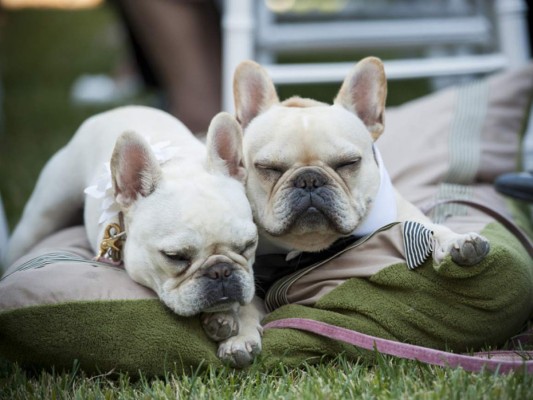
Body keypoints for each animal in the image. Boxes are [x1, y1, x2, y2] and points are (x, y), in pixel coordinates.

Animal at [6, 106, 264, 368]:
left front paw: (233, 328)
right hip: (43, 215)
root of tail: (117, 109)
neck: (179, 164)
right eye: (175, 256)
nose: (221, 271)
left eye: (248, 246)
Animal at [233, 56, 490, 268]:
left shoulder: (409, 214)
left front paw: (458, 240)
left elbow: (433, 228)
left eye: (348, 163)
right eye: (268, 168)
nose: (309, 180)